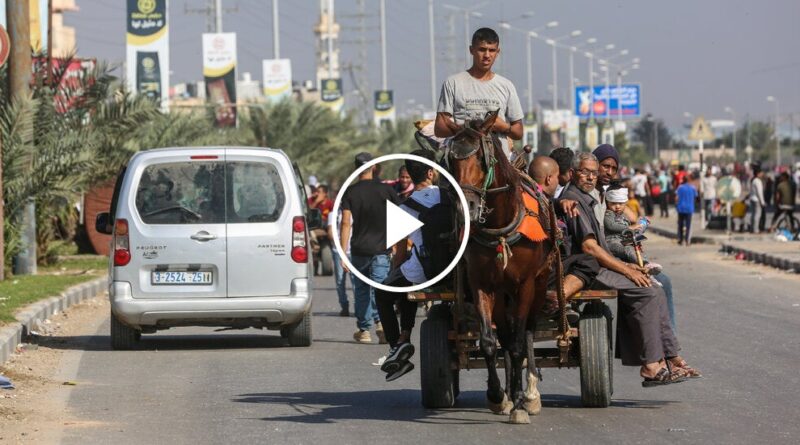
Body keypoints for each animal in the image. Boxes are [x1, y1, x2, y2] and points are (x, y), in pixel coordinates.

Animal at [446, 110, 552, 424]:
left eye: (483, 160)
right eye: (451, 162)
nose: (466, 208)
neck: (500, 230)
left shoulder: (525, 285)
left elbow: (518, 344)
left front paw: (519, 404)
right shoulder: (481, 283)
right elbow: (490, 342)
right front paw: (497, 396)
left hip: (538, 284)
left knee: (526, 332)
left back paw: (528, 394)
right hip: (502, 294)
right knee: (505, 334)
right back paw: (508, 392)